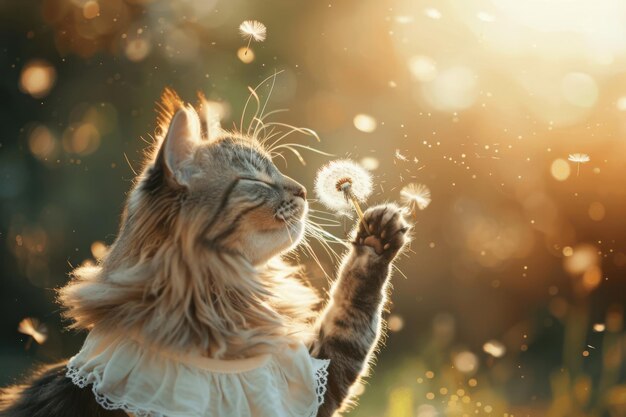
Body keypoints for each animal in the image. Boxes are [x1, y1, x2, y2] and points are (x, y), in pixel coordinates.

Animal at [0, 88, 408, 416]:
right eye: (257, 180)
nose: (303, 191)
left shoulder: (312, 370)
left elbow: (352, 304)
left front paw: (377, 235)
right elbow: (356, 313)